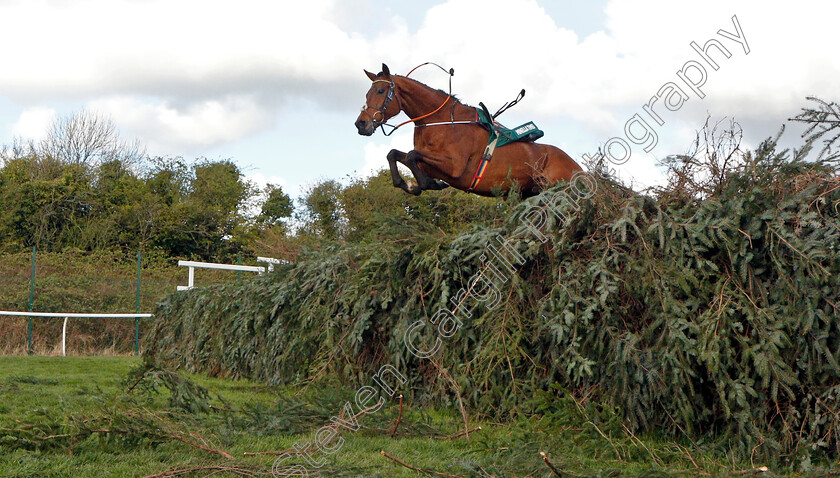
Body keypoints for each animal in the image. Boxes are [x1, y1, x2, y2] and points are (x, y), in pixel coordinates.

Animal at [352, 64, 580, 197]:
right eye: (366, 93)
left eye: (380, 91)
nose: (361, 124)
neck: (440, 121)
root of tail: (579, 168)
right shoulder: (430, 164)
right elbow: (395, 154)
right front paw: (408, 183)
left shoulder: (455, 167)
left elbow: (411, 155)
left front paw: (423, 184)